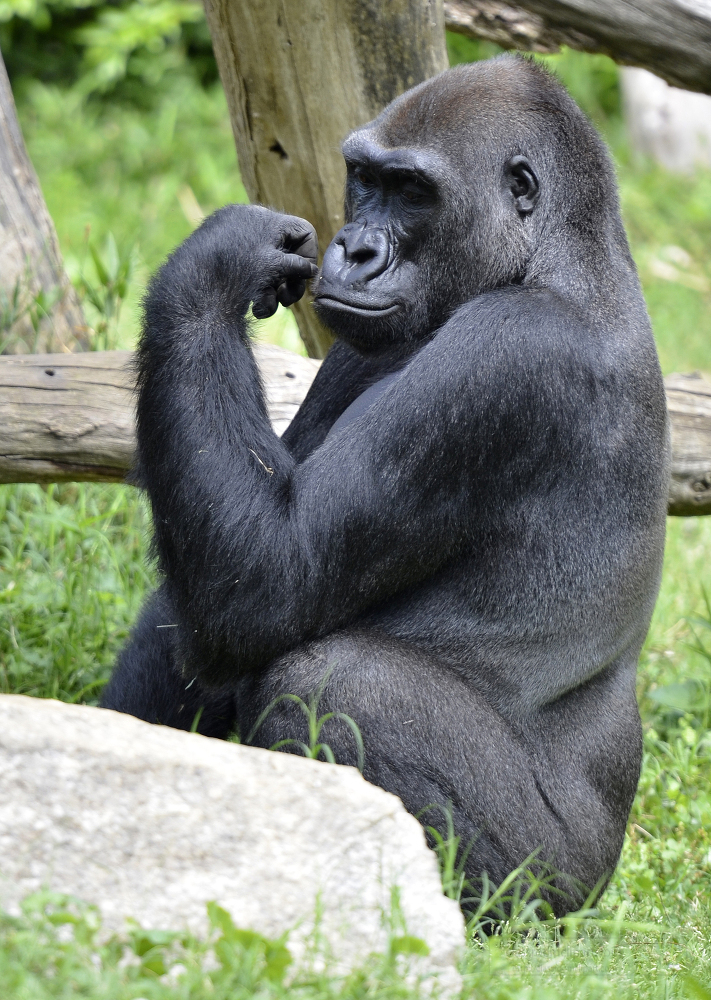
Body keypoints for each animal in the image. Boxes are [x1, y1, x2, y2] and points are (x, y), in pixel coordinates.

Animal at [103, 52, 672, 916]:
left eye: (411, 191)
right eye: (364, 180)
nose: (355, 250)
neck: (556, 254)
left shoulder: (509, 353)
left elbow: (270, 582)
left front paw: (218, 261)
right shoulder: (358, 343)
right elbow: (217, 563)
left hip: (554, 881)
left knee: (336, 681)